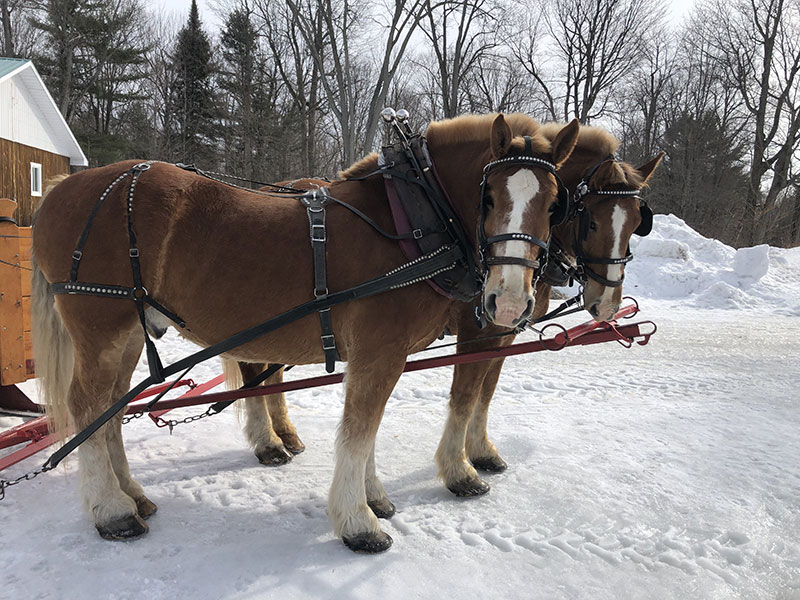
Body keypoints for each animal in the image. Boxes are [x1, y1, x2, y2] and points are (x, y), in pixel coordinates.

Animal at [32, 112, 580, 552]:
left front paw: (374, 497)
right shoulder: (380, 351)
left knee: (110, 407)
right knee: (87, 405)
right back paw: (112, 511)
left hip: (128, 332)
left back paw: (131, 495)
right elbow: (360, 431)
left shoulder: (385, 355)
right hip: (101, 325)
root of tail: (61, 188)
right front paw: (359, 522)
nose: (509, 300)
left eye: (555, 205)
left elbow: (370, 428)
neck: (412, 222)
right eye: (487, 196)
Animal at [225, 125, 664, 496]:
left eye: (637, 222)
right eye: (589, 219)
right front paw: (461, 470)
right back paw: (268, 443)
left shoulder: (503, 332)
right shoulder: (478, 330)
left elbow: (486, 392)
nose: (606, 303)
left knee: (270, 369)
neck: (445, 219)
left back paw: (285, 434)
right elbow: (466, 395)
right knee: (252, 366)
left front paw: (482, 452)